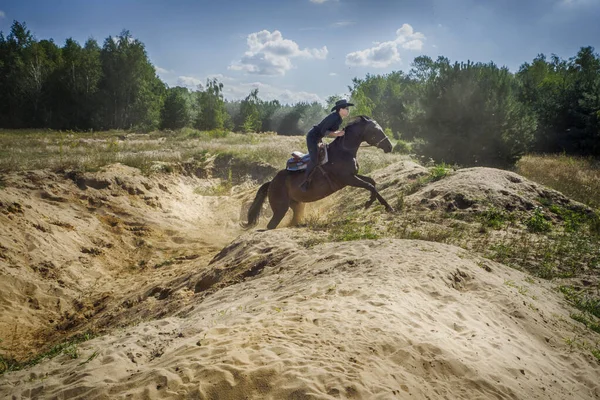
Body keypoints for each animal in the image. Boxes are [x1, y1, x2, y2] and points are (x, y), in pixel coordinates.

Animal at [241, 115, 396, 230]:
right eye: (376, 131)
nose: (389, 146)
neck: (344, 151)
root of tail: (271, 183)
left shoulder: (353, 176)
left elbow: (372, 183)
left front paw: (385, 206)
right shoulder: (348, 179)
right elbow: (370, 186)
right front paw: (371, 204)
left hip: (297, 205)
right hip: (280, 208)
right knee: (271, 225)